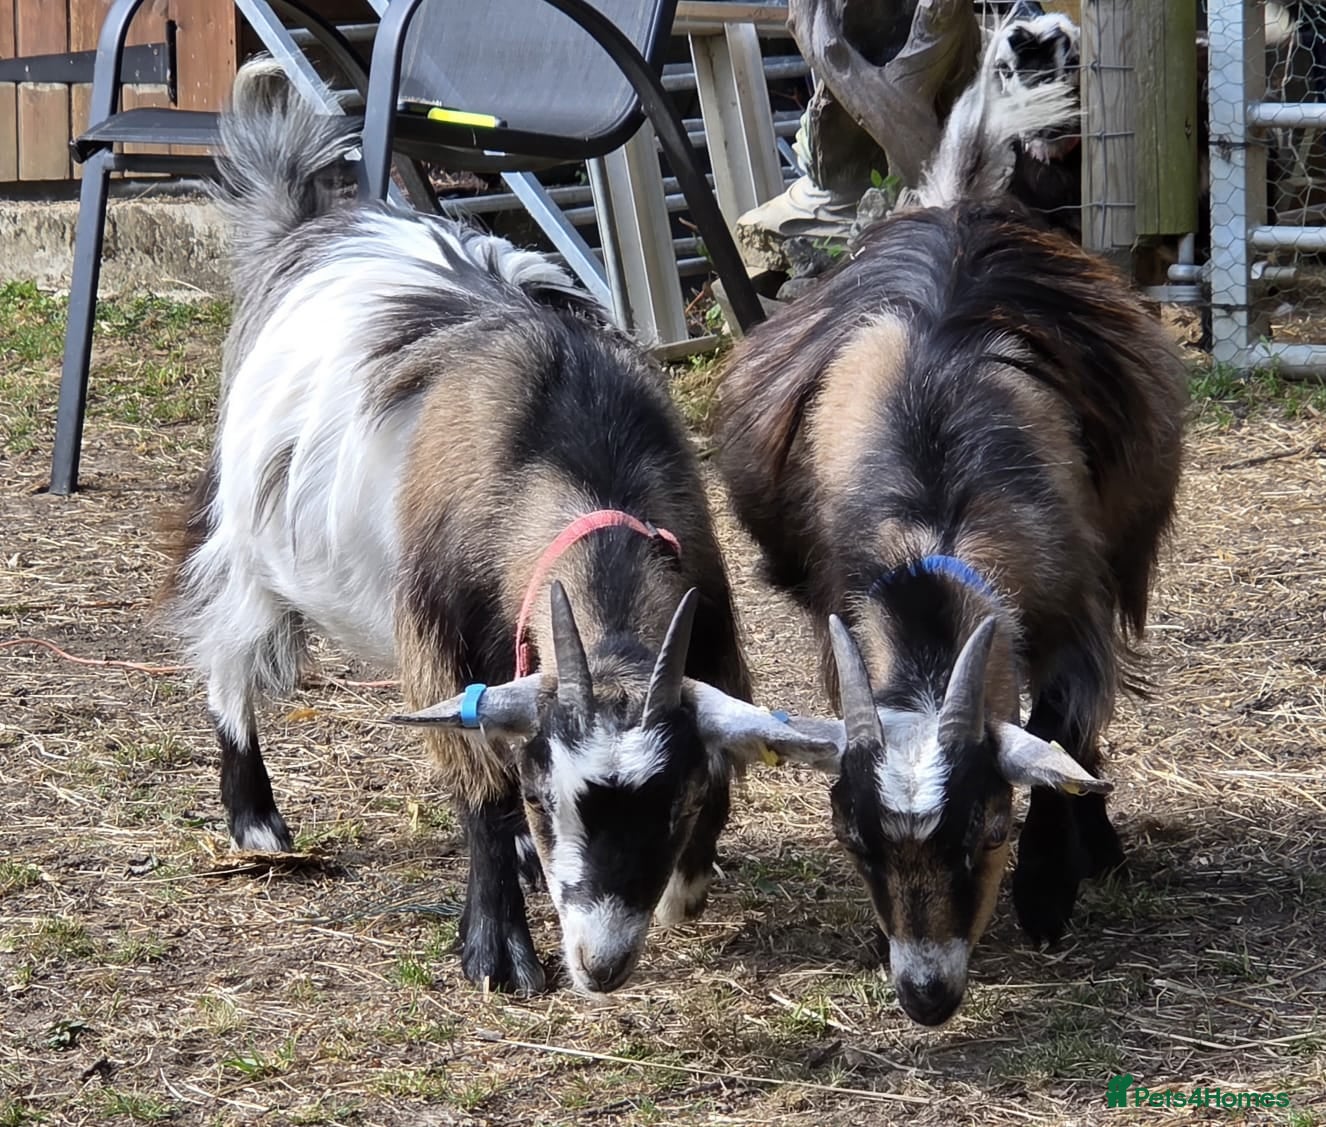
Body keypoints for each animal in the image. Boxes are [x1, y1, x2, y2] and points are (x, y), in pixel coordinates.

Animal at [161, 60, 830, 997]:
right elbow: (478, 779)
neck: (568, 445)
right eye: (551, 795)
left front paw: (686, 884)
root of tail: (310, 223)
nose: (601, 963)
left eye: (673, 805)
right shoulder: (436, 631)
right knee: (227, 650)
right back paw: (254, 818)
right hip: (246, 538)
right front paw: (499, 946)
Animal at [714, 28, 1187, 1026]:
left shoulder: (1074, 612)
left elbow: (1063, 728)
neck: (936, 519)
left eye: (988, 827)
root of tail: (955, 201)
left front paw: (1048, 890)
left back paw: (1101, 846)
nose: (926, 995)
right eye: (853, 841)